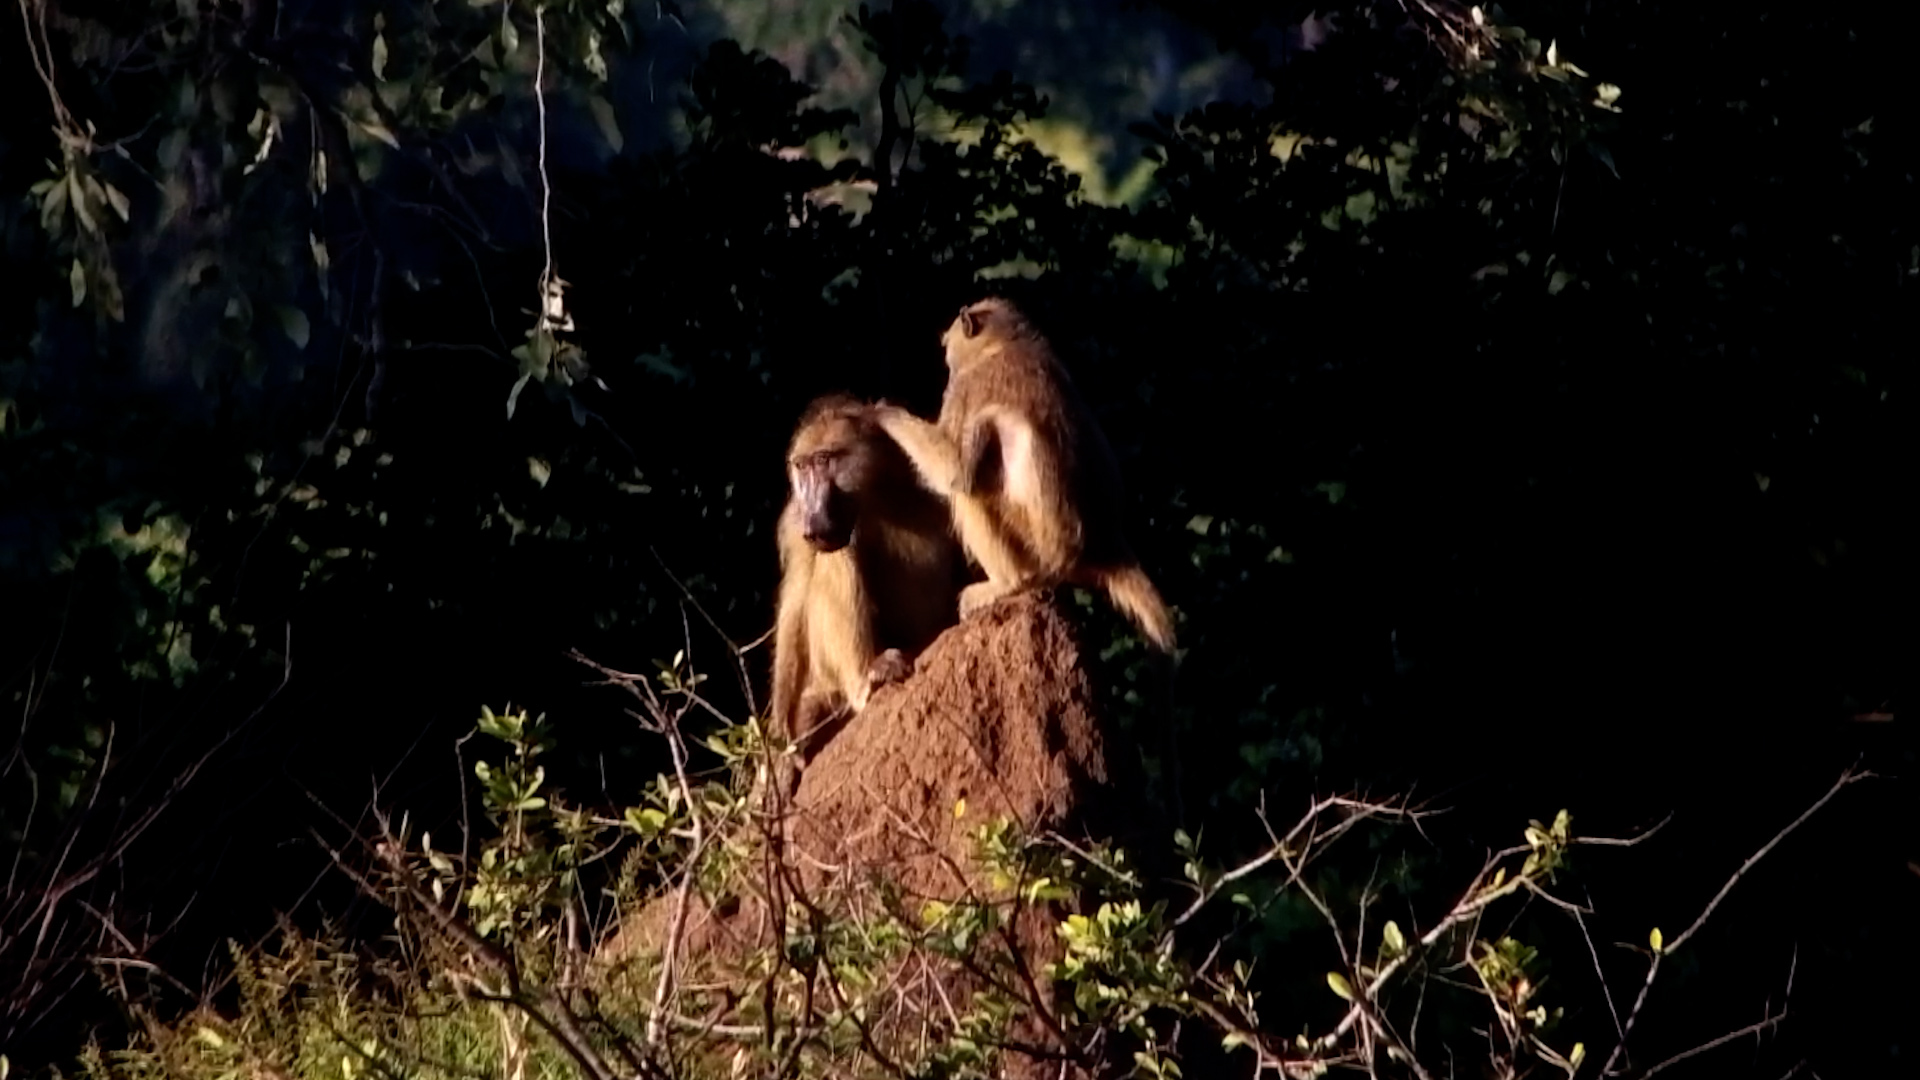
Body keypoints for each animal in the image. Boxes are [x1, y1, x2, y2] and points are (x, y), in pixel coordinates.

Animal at [768, 394, 965, 765]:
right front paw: (779, 735)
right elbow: (796, 602)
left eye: (824, 461)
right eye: (802, 467)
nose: (813, 516)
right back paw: (864, 681)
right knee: (839, 554)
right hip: (828, 674)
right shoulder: (794, 523)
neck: (877, 494)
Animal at [873, 297, 1177, 654]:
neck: (1005, 343)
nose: (949, 369)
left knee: (969, 492)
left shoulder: (969, 387)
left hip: (1037, 551)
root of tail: (1106, 548)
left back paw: (1006, 584)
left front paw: (884, 414)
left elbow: (956, 470)